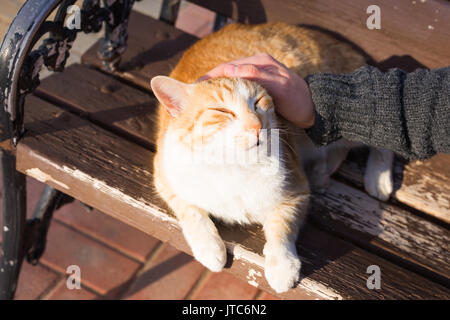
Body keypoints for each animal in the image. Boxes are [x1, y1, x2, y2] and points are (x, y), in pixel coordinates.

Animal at [149, 21, 392, 292]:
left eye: (259, 102)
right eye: (223, 111)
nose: (257, 126)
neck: (233, 166)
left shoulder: (296, 191)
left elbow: (282, 228)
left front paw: (282, 266)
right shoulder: (164, 175)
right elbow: (190, 211)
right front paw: (210, 248)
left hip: (349, 125)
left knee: (382, 133)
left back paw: (378, 179)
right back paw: (321, 172)